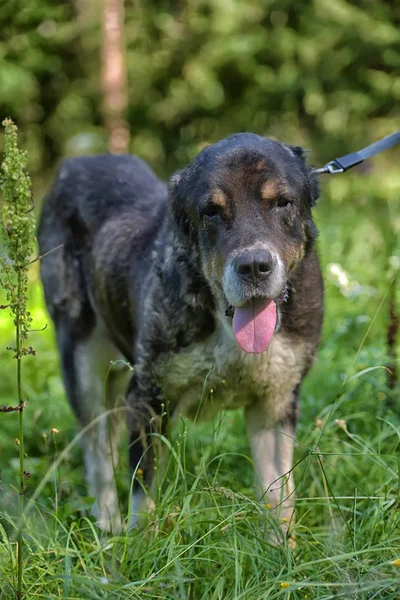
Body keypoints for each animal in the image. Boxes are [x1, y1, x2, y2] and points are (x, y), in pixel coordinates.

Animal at [39, 134, 324, 532]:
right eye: (212, 212)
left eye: (283, 202)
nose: (254, 266)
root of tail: (74, 163)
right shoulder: (147, 399)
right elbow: (144, 492)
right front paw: (140, 542)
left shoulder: (275, 403)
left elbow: (279, 495)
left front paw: (282, 546)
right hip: (81, 363)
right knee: (97, 456)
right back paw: (109, 530)